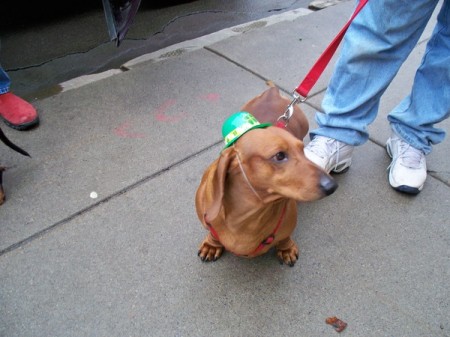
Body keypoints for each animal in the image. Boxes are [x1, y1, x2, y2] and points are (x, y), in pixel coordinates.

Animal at [194, 86, 338, 266]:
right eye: (279, 156)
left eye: (302, 150)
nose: (332, 186)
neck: (247, 216)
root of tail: (273, 92)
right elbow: (213, 234)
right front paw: (212, 245)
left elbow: (284, 237)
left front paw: (286, 248)